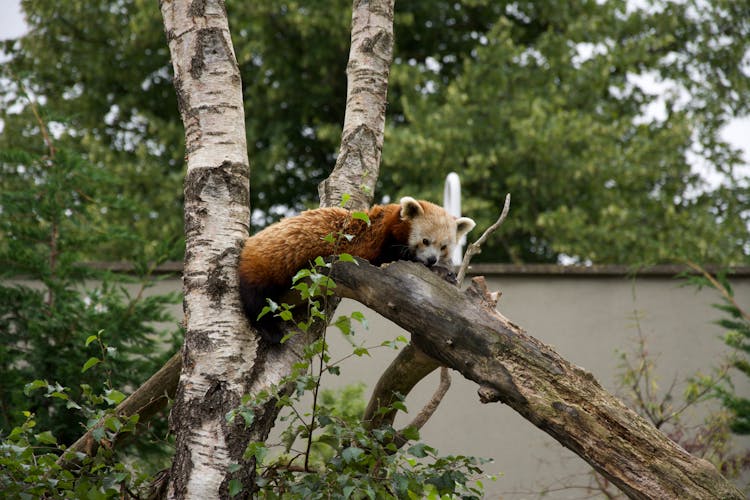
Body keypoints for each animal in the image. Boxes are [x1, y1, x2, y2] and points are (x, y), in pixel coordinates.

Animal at [241, 197, 476, 342]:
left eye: (443, 246)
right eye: (425, 241)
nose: (432, 259)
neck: (390, 222)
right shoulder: (380, 247)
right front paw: (441, 272)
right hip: (268, 263)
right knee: (256, 298)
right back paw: (270, 330)